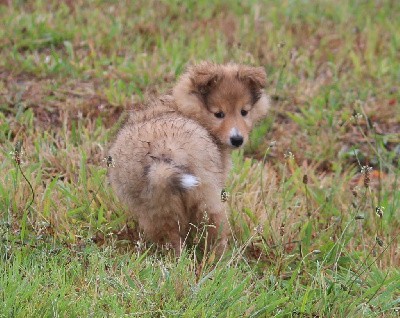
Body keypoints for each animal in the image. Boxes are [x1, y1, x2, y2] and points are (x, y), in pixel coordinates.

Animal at [108, 62, 270, 255]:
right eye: (218, 114)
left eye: (244, 112)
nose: (237, 139)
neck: (187, 108)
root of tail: (163, 154)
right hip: (208, 197)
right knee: (214, 232)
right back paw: (222, 257)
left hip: (157, 209)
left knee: (171, 240)